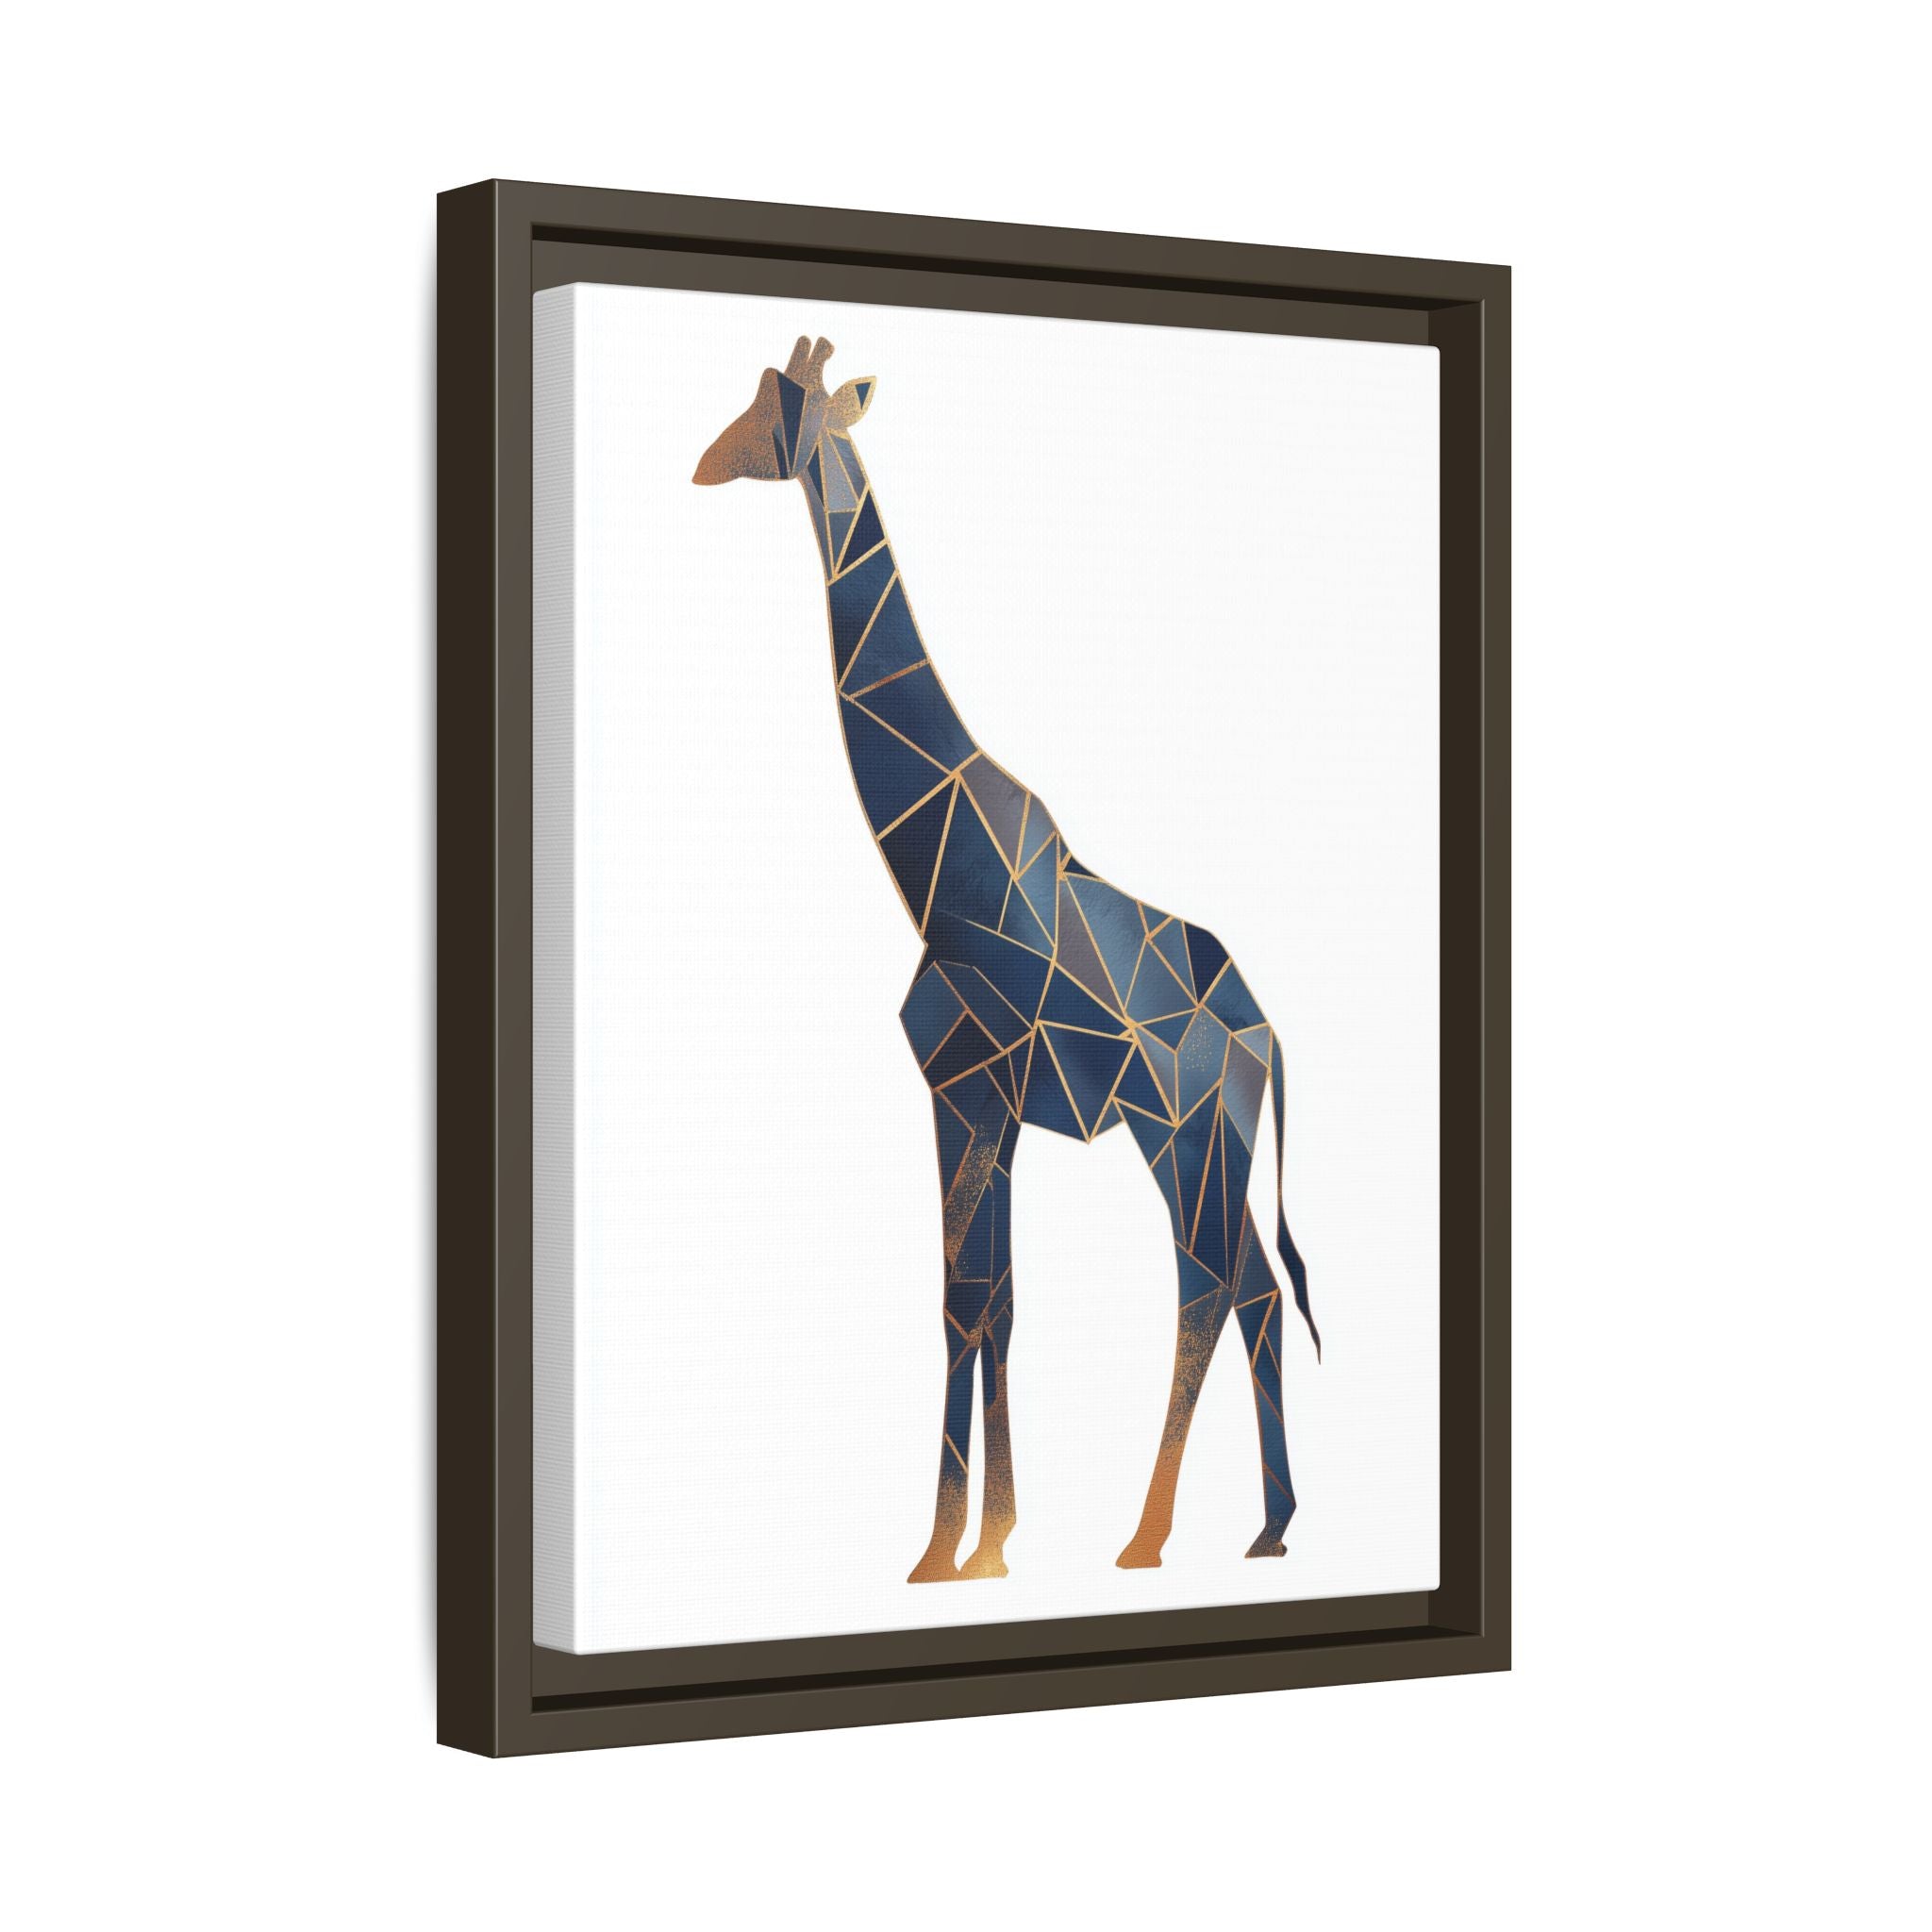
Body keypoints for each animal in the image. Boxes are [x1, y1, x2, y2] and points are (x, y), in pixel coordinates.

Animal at [695, 336, 1320, 1581]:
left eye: (776, 409)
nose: (703, 461)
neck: (938, 871)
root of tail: (1266, 1035)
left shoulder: (965, 1086)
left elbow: (962, 1300)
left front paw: (944, 1549)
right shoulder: (985, 1100)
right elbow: (995, 1299)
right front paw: (987, 1542)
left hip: (1177, 1131)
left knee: (1207, 1283)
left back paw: (1147, 1535)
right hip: (1213, 1140)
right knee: (1257, 1288)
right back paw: (1267, 1527)